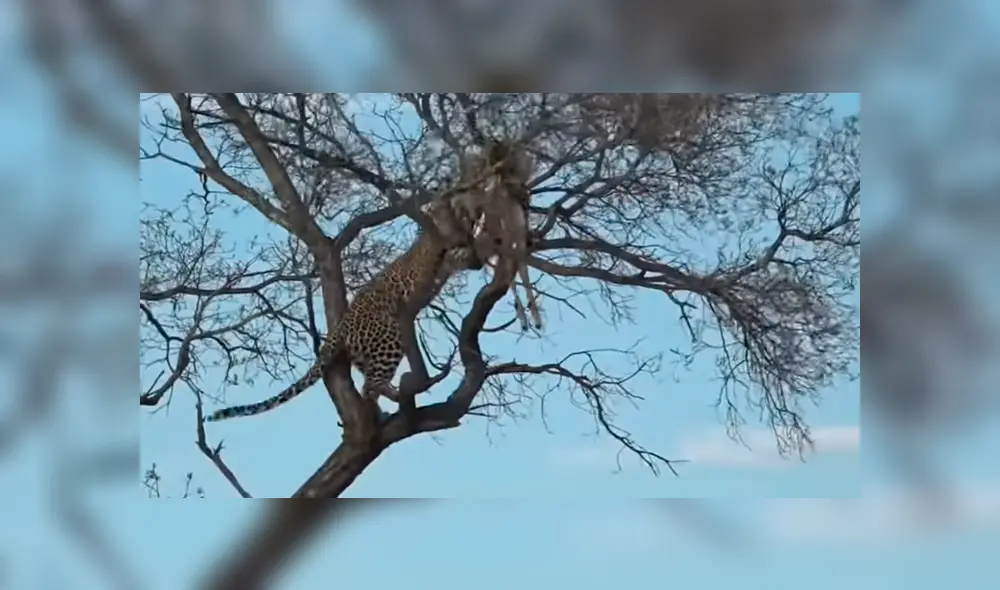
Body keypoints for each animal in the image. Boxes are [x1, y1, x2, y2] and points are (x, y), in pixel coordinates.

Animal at [205, 204, 484, 423]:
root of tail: (342, 326)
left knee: (369, 382)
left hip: (366, 353)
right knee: (369, 385)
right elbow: (454, 254)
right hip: (390, 335)